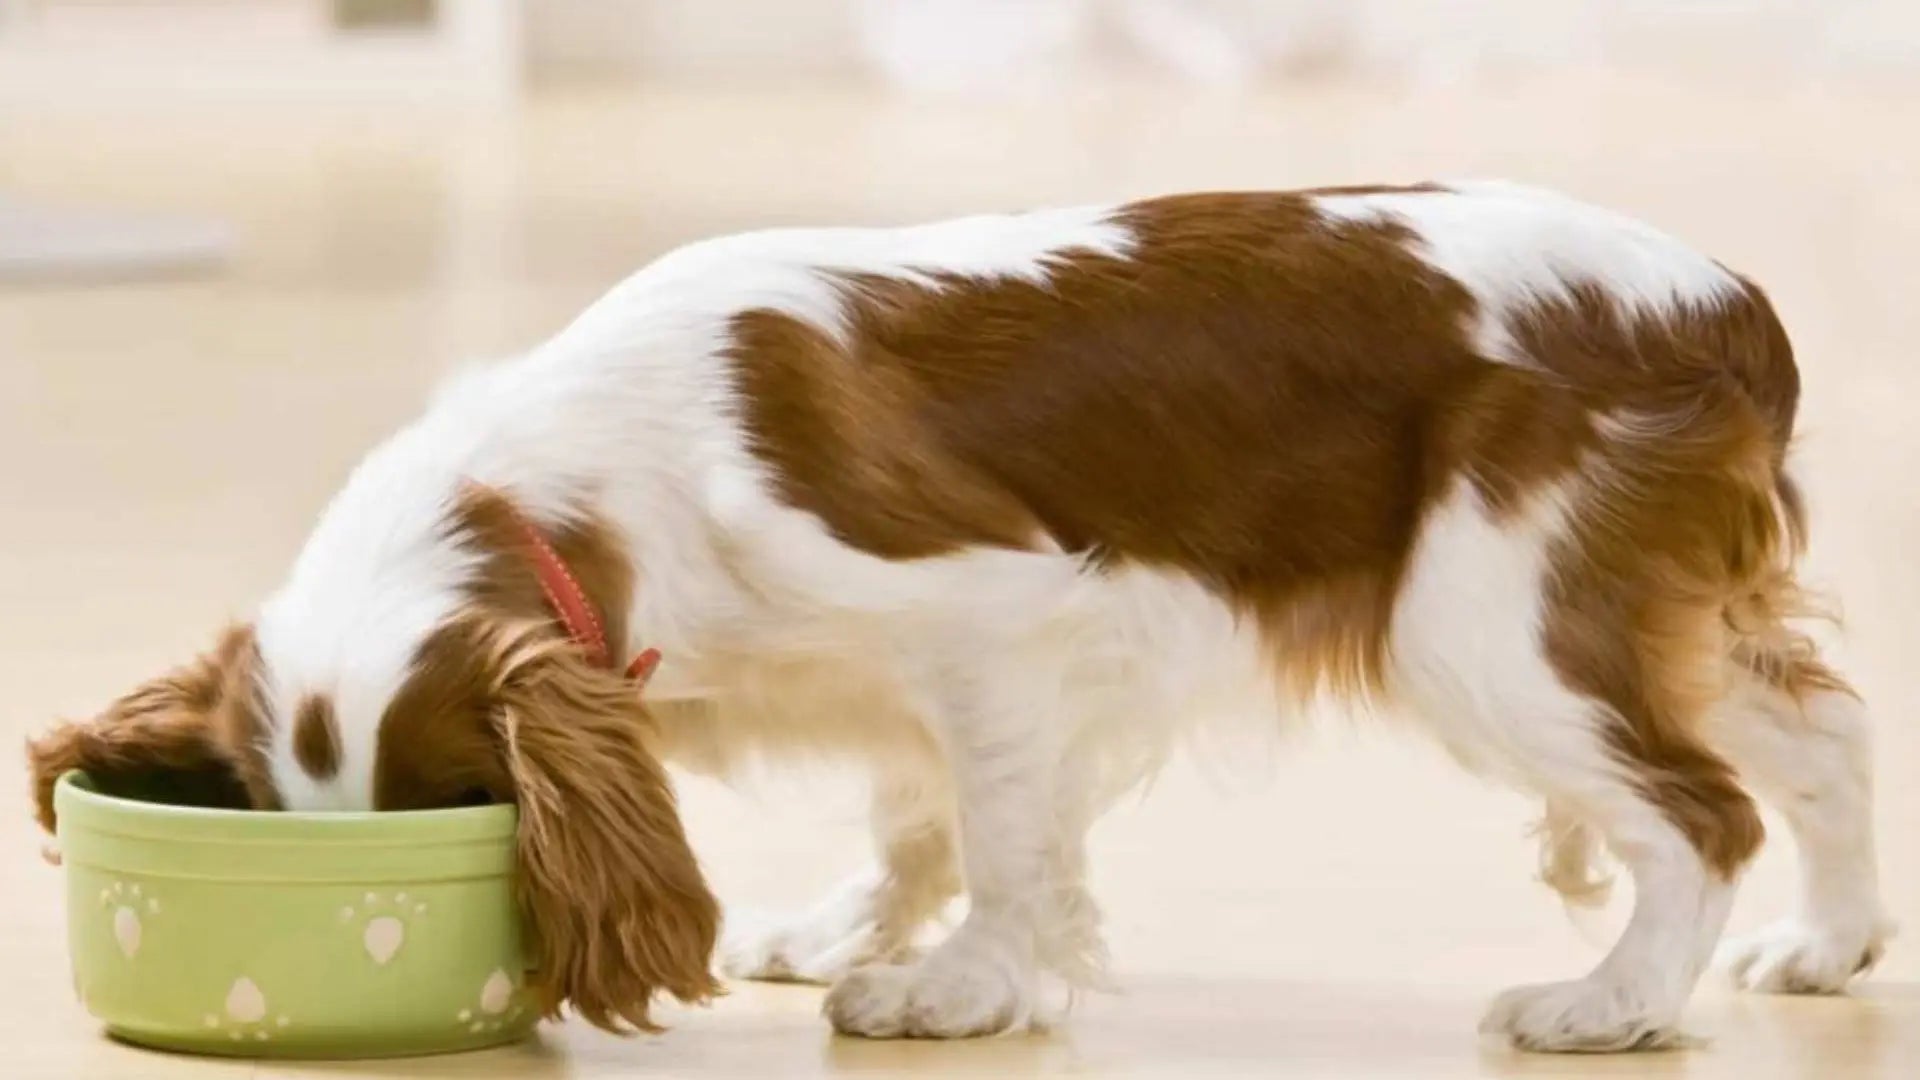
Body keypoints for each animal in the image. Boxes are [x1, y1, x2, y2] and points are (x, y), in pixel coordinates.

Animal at [30, 180, 1889, 1045]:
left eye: (461, 810)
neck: (584, 484)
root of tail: (1725, 303)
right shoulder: (897, 679)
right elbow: (914, 810)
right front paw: (860, 925)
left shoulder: (992, 620)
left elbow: (999, 833)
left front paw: (958, 988)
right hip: (1641, 608)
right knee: (1820, 738)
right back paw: (1831, 945)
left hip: (1488, 623)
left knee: (1699, 813)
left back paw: (1612, 1006)